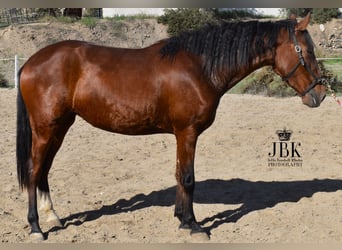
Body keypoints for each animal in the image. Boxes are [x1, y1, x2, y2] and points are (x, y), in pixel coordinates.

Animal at [16, 13, 326, 240]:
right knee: (33, 170)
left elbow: (179, 174)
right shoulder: (187, 132)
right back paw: (36, 228)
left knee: (44, 170)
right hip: (45, 129)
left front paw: (181, 218)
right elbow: (188, 177)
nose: (320, 94)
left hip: (59, 127)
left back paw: (52, 216)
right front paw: (193, 225)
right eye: (307, 51)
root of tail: (31, 62)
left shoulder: (182, 134)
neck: (201, 67)